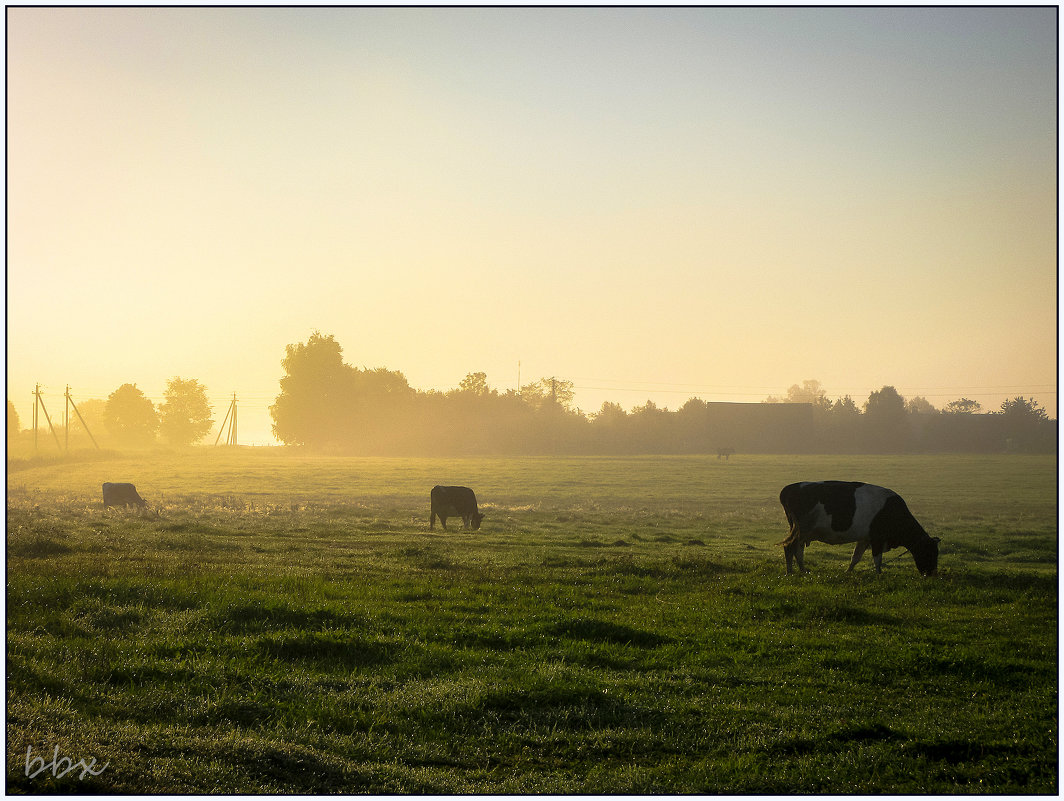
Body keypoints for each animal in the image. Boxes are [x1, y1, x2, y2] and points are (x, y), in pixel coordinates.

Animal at [778, 480, 944, 574]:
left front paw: (848, 572)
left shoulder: (865, 539)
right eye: (929, 553)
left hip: (802, 532)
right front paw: (879, 575)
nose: (932, 574)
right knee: (789, 547)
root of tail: (789, 488)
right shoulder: (877, 538)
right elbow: (877, 559)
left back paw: (803, 571)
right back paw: (790, 572)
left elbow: (855, 557)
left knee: (797, 550)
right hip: (801, 530)